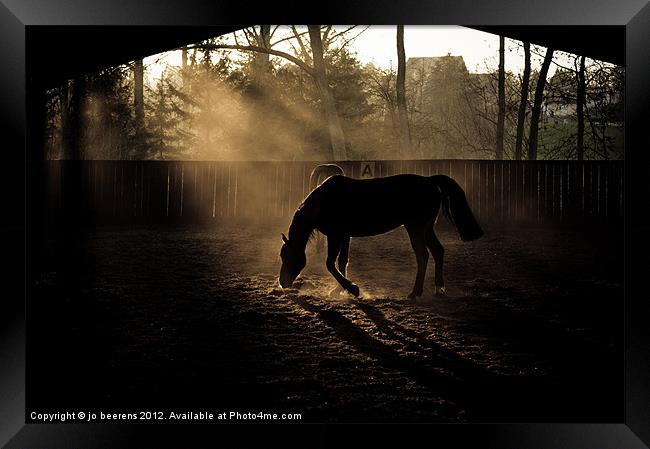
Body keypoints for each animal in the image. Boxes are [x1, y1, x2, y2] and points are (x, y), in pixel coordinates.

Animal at [278, 173, 480, 300]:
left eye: (287, 256)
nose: (282, 283)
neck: (325, 201)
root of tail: (429, 181)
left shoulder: (336, 235)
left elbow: (330, 264)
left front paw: (353, 289)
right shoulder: (345, 236)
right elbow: (342, 262)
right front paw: (340, 290)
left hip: (416, 229)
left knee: (423, 256)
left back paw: (415, 293)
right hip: (426, 229)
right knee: (438, 251)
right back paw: (439, 289)